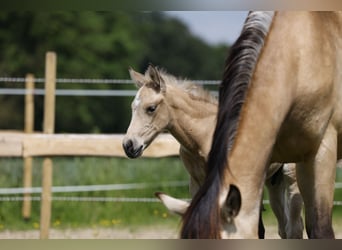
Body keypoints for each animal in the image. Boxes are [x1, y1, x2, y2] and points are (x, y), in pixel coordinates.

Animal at [122, 64, 302, 238]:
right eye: (132, 107)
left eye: (151, 108)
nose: (128, 145)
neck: (205, 136)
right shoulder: (196, 184)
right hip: (273, 182)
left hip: (290, 177)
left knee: (294, 228)